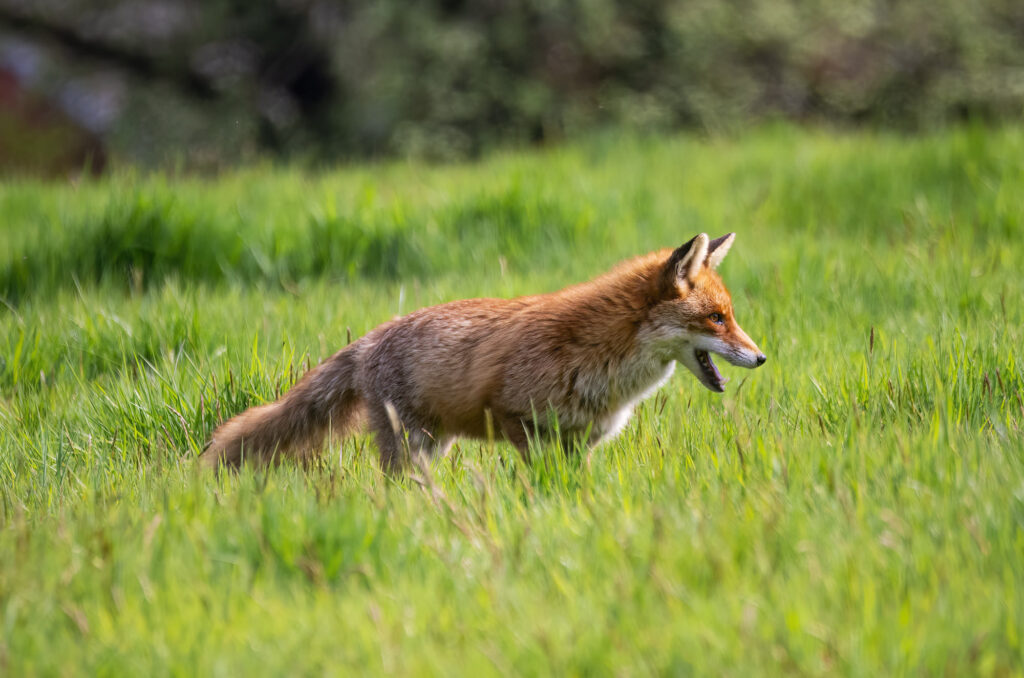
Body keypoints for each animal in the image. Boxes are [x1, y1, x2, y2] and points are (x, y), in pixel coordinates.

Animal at [200, 232, 766, 472]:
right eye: (717, 319)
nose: (761, 358)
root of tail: (370, 337)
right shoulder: (515, 417)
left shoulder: (580, 443)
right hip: (412, 448)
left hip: (436, 443)